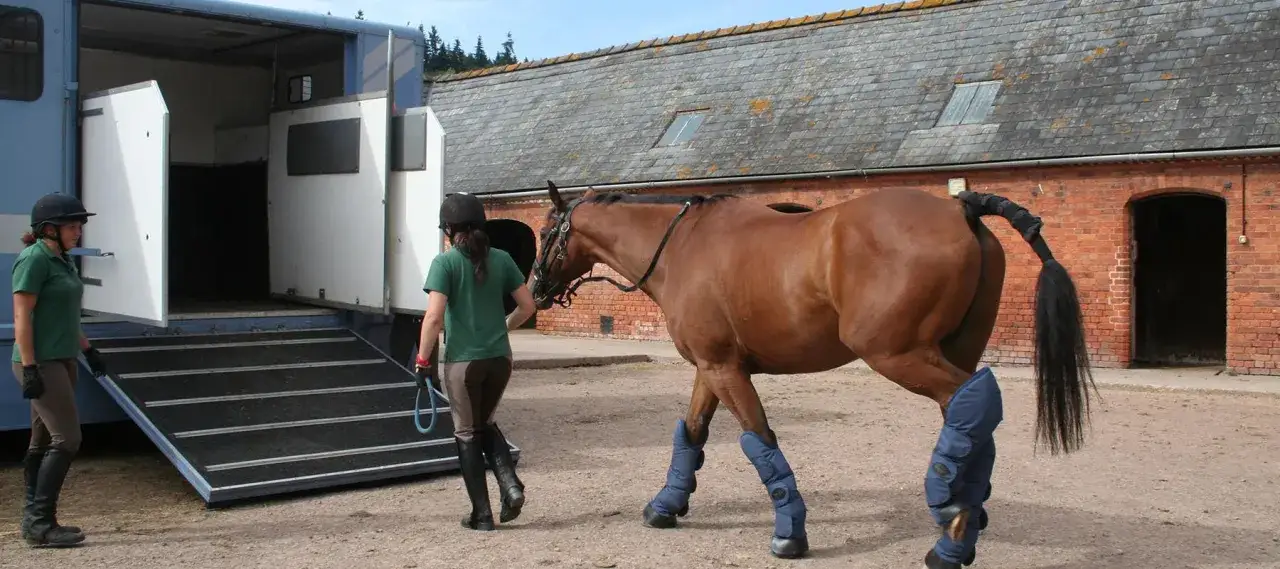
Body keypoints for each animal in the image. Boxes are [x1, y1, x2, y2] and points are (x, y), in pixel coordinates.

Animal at [527, 180, 1097, 567]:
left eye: (544, 232)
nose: (534, 291)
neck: (682, 246)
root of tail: (960, 207)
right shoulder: (712, 368)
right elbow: (692, 433)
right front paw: (667, 504)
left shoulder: (724, 369)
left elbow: (759, 441)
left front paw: (789, 532)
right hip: (951, 352)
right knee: (971, 413)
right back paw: (964, 512)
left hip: (898, 354)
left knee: (974, 403)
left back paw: (951, 533)